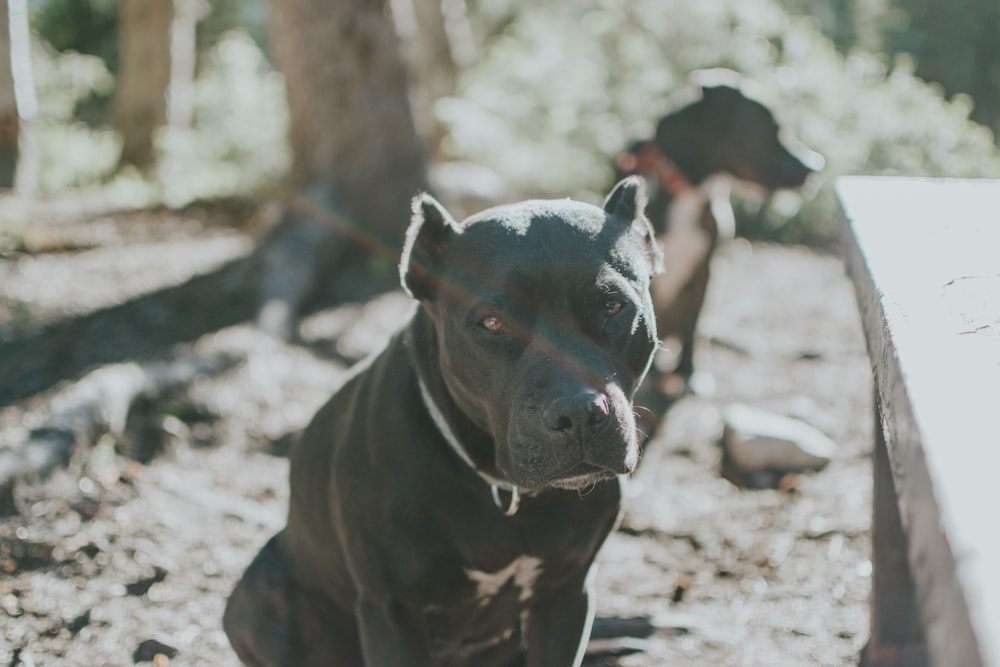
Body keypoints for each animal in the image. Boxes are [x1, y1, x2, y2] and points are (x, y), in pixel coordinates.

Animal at [227, 177, 664, 667]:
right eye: (491, 322)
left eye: (613, 307)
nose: (580, 413)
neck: (501, 488)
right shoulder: (392, 611)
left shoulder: (566, 593)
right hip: (257, 594)